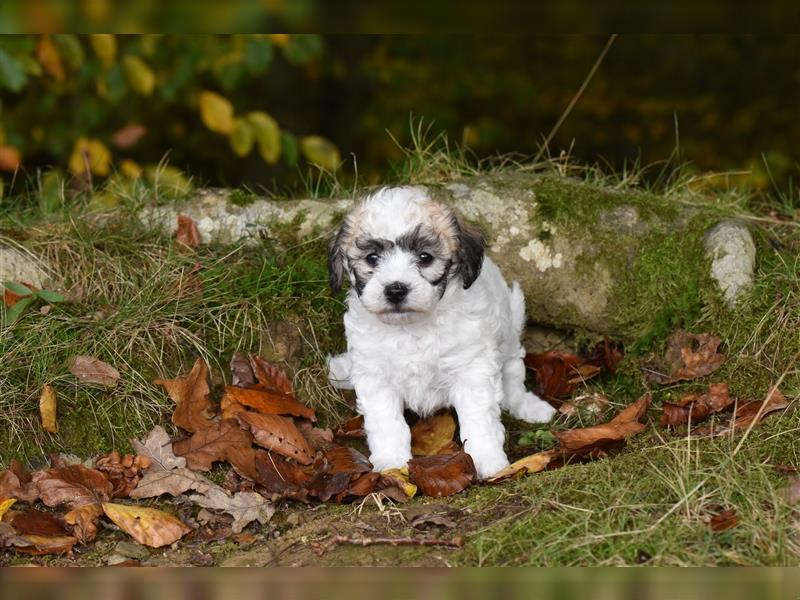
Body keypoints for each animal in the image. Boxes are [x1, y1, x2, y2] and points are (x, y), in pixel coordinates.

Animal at [324, 188, 556, 478]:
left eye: (425, 257)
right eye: (372, 258)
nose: (395, 290)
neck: (411, 327)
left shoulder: (472, 369)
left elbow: (478, 419)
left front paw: (488, 460)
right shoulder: (376, 376)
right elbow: (387, 422)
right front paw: (391, 462)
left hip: (511, 325)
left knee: (513, 372)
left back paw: (528, 405)